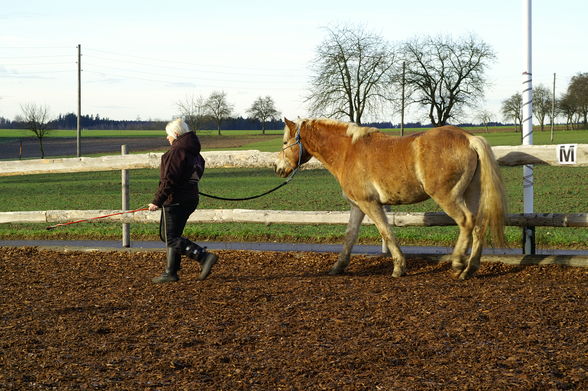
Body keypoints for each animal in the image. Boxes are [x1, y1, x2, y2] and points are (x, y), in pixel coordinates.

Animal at [274, 118, 508, 280]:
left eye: (285, 141)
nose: (278, 168)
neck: (347, 152)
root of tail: (470, 139)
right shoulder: (357, 206)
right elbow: (350, 235)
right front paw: (338, 267)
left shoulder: (370, 203)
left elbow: (386, 232)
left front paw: (398, 267)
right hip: (471, 194)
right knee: (479, 225)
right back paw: (470, 268)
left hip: (447, 196)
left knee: (466, 221)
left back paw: (459, 262)